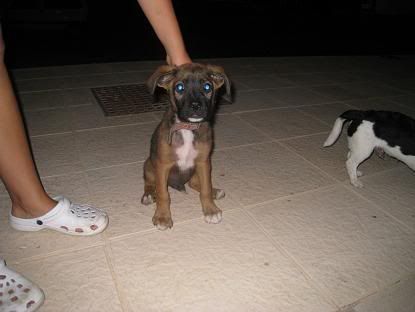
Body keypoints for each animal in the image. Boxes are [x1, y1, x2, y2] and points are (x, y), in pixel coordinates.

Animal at [141, 62, 231, 229]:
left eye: (207, 87)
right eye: (180, 87)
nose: (196, 106)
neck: (188, 127)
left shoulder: (203, 162)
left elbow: (205, 188)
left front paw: (210, 209)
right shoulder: (162, 166)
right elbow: (163, 194)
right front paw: (162, 217)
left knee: (195, 183)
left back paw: (215, 191)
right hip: (149, 164)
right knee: (150, 182)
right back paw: (149, 194)